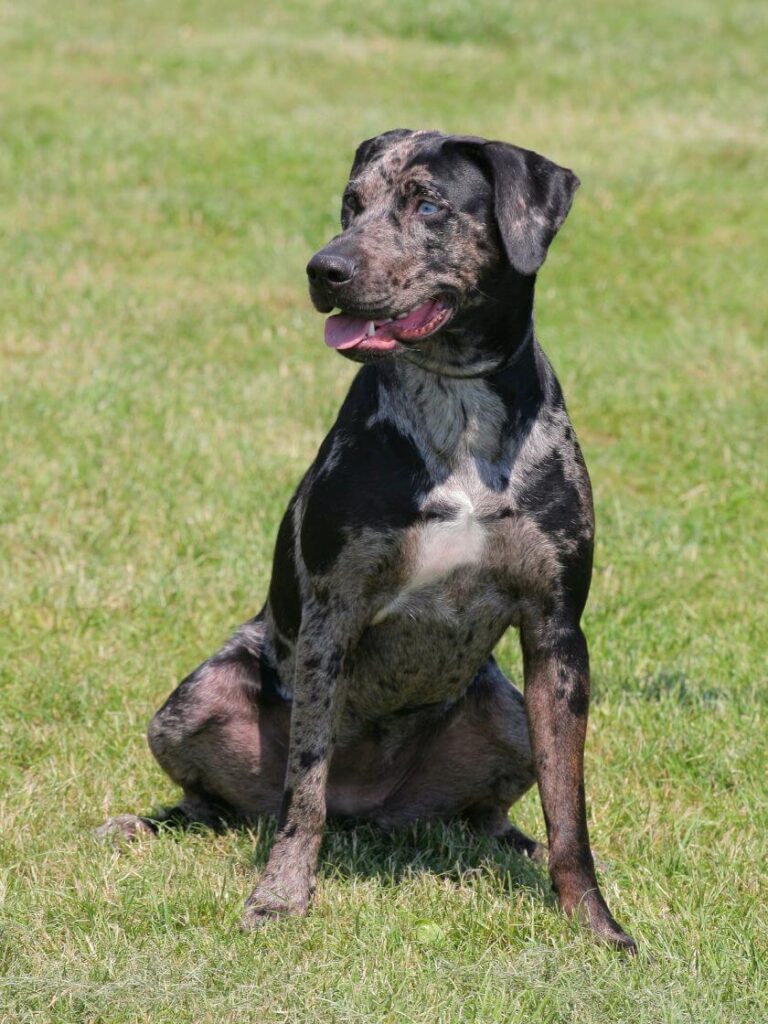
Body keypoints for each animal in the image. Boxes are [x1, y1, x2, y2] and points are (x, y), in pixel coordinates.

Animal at [103, 128, 643, 950]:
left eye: (428, 205)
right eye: (351, 204)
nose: (325, 267)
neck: (456, 403)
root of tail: (372, 810)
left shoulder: (557, 632)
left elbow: (568, 806)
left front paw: (594, 923)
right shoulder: (332, 616)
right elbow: (303, 788)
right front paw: (280, 897)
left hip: (509, 711)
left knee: (490, 808)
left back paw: (507, 843)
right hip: (191, 701)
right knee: (214, 802)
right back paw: (146, 824)